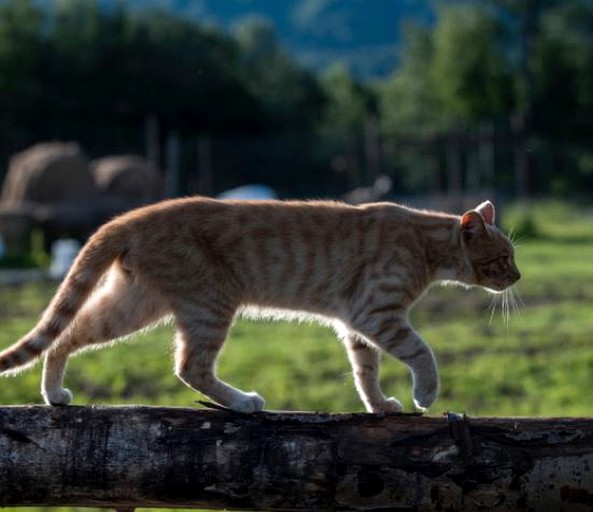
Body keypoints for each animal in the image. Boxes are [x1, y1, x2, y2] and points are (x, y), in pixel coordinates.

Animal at [0, 196, 520, 412]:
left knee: (64, 336)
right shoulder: (376, 313)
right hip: (209, 305)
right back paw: (242, 402)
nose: (518, 276)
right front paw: (424, 395)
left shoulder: (356, 322)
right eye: (503, 258)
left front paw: (380, 407)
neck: (425, 243)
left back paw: (54, 394)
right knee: (190, 367)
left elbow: (365, 371)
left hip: (133, 305)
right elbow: (421, 352)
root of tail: (127, 218)